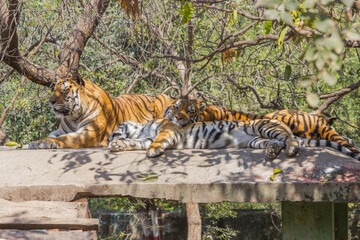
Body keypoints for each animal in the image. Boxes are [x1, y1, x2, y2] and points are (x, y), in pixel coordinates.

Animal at [28, 73, 174, 148]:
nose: (50, 101)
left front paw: (44, 143)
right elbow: (52, 135)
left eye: (63, 90)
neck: (74, 116)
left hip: (162, 96)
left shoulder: (88, 133)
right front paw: (39, 142)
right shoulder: (60, 130)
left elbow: (66, 138)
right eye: (54, 90)